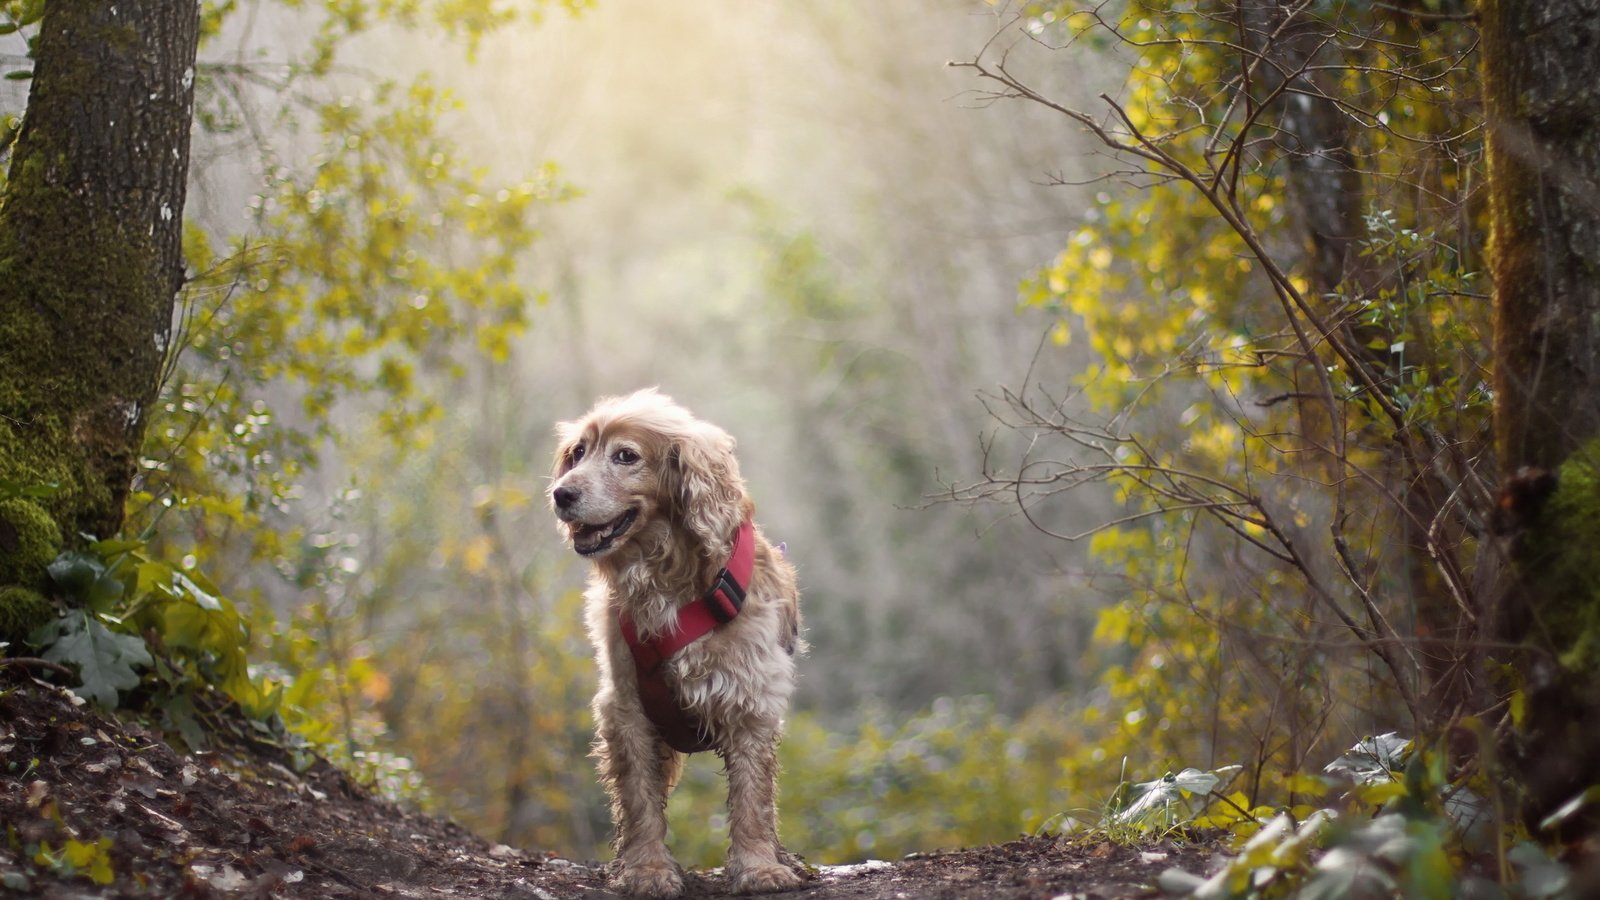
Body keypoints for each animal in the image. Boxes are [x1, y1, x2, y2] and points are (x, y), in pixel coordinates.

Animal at [550, 389, 806, 890]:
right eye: (578, 453)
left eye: (626, 456)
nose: (561, 493)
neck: (664, 576)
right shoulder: (626, 704)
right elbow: (639, 800)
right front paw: (646, 868)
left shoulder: (750, 698)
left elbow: (752, 797)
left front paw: (759, 866)